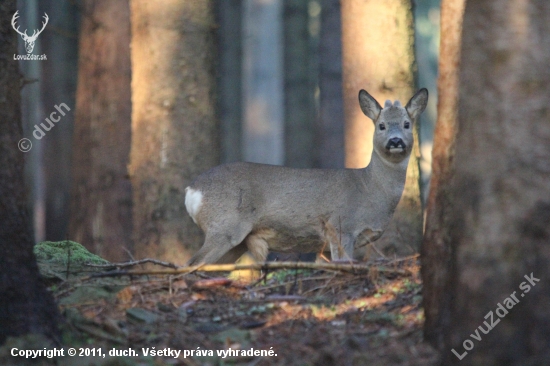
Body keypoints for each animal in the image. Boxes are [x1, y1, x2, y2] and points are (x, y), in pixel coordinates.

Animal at [188, 88, 430, 266]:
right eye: (381, 125)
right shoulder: (341, 226)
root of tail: (192, 190)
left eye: (407, 124)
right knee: (193, 263)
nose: (396, 141)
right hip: (223, 224)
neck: (370, 189)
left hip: (236, 241)